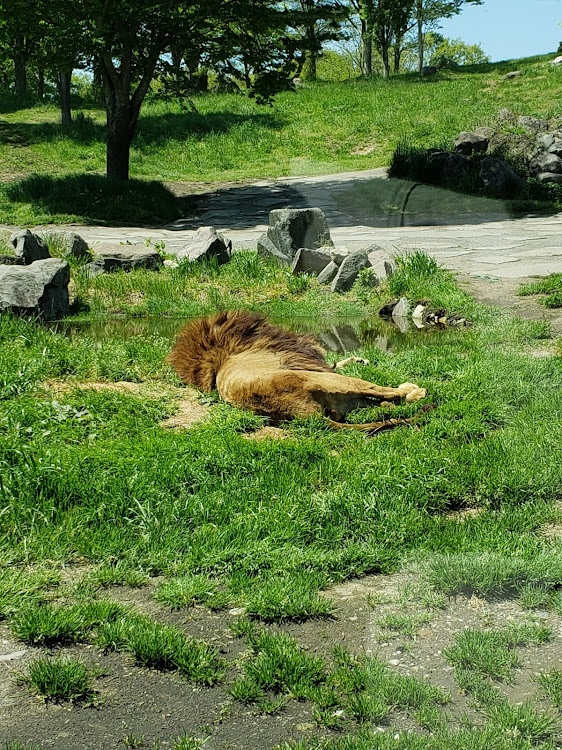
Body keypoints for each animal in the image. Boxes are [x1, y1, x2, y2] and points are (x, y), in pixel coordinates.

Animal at [167, 310, 428, 434]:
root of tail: (300, 414)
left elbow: (339, 359)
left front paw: (360, 358)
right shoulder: (311, 361)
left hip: (340, 399)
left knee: (377, 404)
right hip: (330, 380)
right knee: (381, 391)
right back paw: (413, 392)